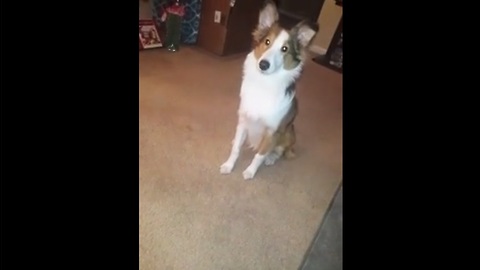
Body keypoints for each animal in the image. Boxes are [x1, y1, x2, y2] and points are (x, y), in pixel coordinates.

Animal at [220, 1, 318, 180]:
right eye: (267, 42)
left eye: (285, 49)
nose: (263, 65)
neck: (264, 84)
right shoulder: (243, 120)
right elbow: (236, 148)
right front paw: (229, 165)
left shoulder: (272, 132)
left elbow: (259, 155)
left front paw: (250, 172)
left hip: (289, 132)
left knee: (279, 151)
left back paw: (271, 158)